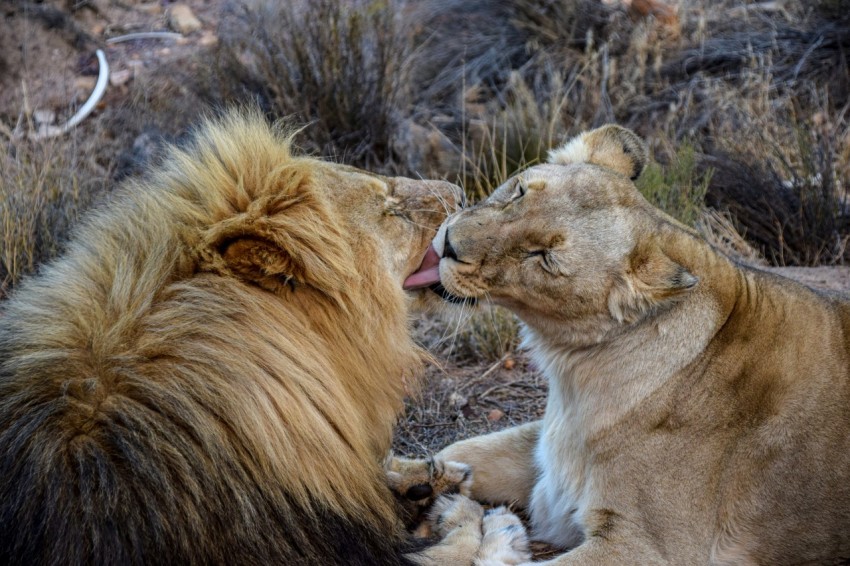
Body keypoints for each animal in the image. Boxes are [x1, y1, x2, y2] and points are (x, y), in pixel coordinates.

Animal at [404, 125, 850, 564]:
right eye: (519, 191)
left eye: (544, 257)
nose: (450, 244)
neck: (575, 376)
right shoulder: (545, 451)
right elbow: (462, 448)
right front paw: (422, 484)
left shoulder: (650, 545)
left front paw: (487, 527)